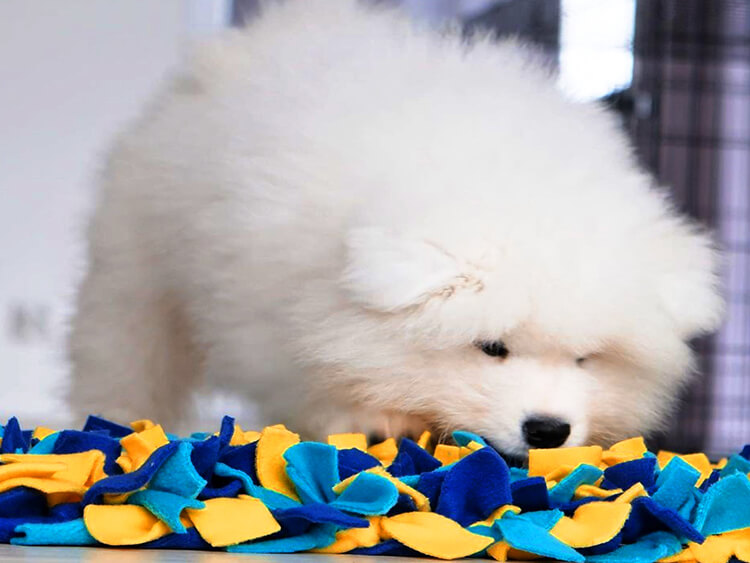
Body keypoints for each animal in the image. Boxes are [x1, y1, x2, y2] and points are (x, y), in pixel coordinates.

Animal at [68, 0, 723, 456]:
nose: (547, 430)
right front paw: (374, 417)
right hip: (136, 269)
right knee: (123, 354)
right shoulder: (267, 317)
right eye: (492, 348)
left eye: (588, 360)